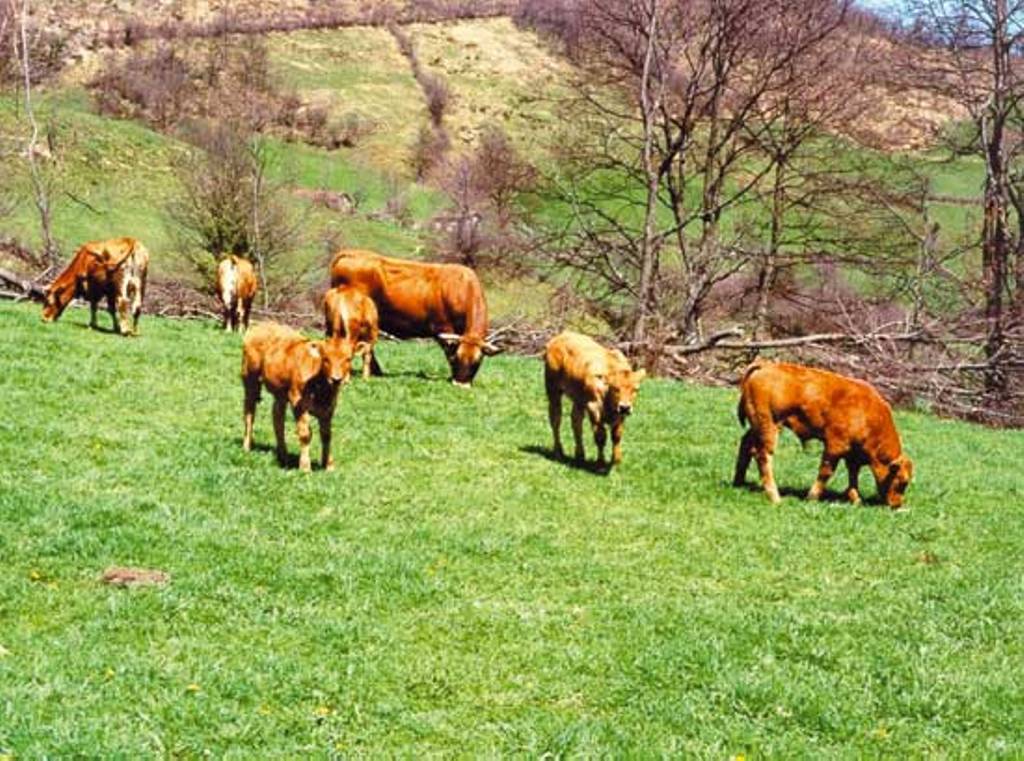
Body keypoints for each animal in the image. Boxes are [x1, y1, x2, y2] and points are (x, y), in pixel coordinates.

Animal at [240, 319, 356, 471]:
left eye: (348, 359)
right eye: (325, 358)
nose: (336, 379)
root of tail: (262, 325)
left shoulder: (329, 407)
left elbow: (326, 435)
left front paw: (328, 465)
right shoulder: (298, 403)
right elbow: (305, 433)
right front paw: (305, 467)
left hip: (280, 393)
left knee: (278, 418)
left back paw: (283, 456)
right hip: (250, 379)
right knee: (249, 413)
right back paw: (247, 446)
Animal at [327, 248, 499, 387]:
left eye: (478, 361)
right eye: (458, 357)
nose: (461, 384)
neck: (460, 288)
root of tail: (351, 252)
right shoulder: (444, 329)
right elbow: (448, 352)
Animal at [544, 333, 647, 471]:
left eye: (636, 389)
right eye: (615, 388)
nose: (624, 407)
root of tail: (559, 337)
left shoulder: (620, 415)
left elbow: (617, 435)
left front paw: (616, 461)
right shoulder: (593, 408)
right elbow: (600, 436)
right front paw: (600, 463)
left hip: (578, 400)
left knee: (576, 422)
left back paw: (580, 456)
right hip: (553, 391)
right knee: (556, 420)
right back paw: (558, 452)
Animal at [733, 360, 917, 508]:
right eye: (902, 482)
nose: (897, 505)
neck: (870, 415)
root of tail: (766, 365)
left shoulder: (852, 455)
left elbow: (853, 476)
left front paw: (856, 500)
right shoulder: (835, 446)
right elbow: (826, 472)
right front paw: (812, 497)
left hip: (757, 426)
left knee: (746, 444)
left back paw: (738, 482)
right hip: (769, 426)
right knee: (763, 456)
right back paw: (775, 497)